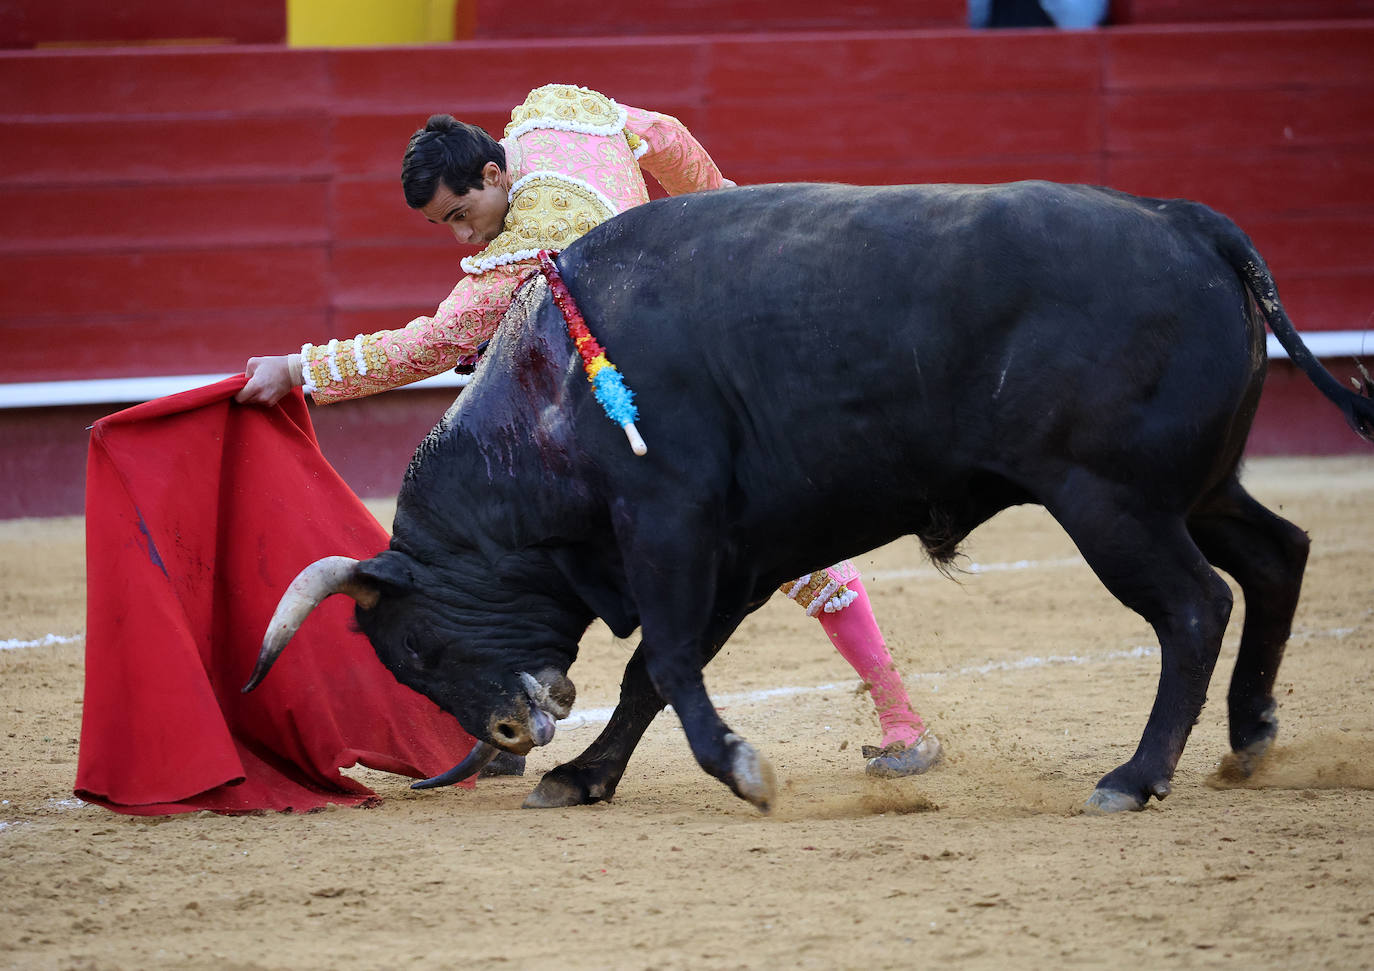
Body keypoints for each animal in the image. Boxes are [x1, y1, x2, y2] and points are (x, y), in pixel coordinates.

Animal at [247, 179, 1374, 813]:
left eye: (417, 649)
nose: (509, 737)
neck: (551, 397)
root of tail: (1189, 223)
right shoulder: (738, 555)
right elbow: (657, 671)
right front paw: (585, 778)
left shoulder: (671, 524)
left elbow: (665, 660)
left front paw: (741, 771)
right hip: (1197, 487)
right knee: (1277, 555)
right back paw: (1249, 740)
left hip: (1110, 501)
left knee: (1194, 605)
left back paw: (1134, 777)